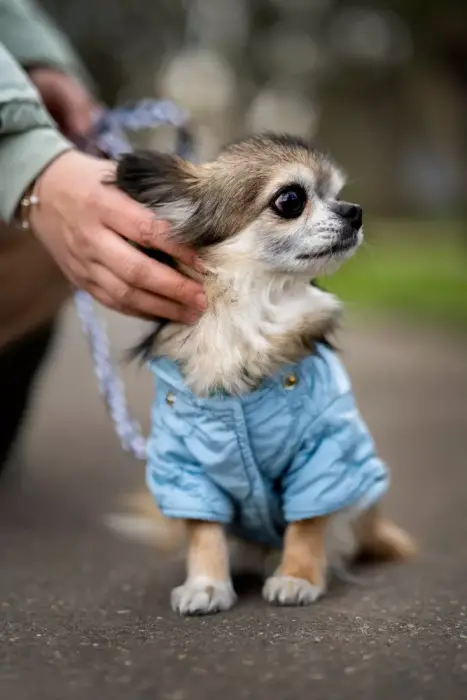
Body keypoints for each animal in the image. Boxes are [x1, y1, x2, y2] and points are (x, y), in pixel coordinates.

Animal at [115, 134, 414, 616]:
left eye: (336, 193)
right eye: (291, 200)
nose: (354, 210)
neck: (255, 311)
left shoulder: (321, 453)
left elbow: (308, 522)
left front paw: (297, 577)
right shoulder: (185, 466)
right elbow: (202, 530)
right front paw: (206, 584)